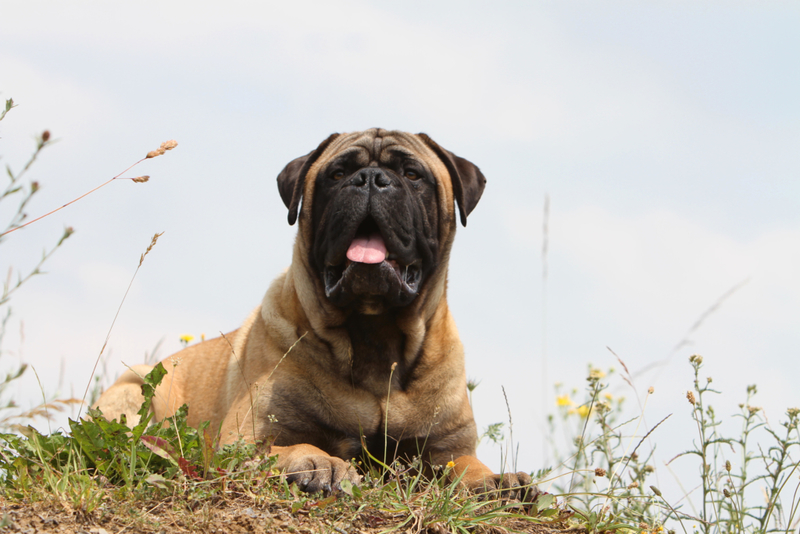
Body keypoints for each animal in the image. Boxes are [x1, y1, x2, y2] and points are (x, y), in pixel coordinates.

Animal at [97, 130, 540, 502]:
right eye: (338, 173)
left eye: (413, 174)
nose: (371, 178)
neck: (374, 337)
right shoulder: (247, 436)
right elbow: (292, 445)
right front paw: (322, 463)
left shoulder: (443, 447)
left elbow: (464, 464)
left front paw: (496, 481)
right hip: (133, 389)